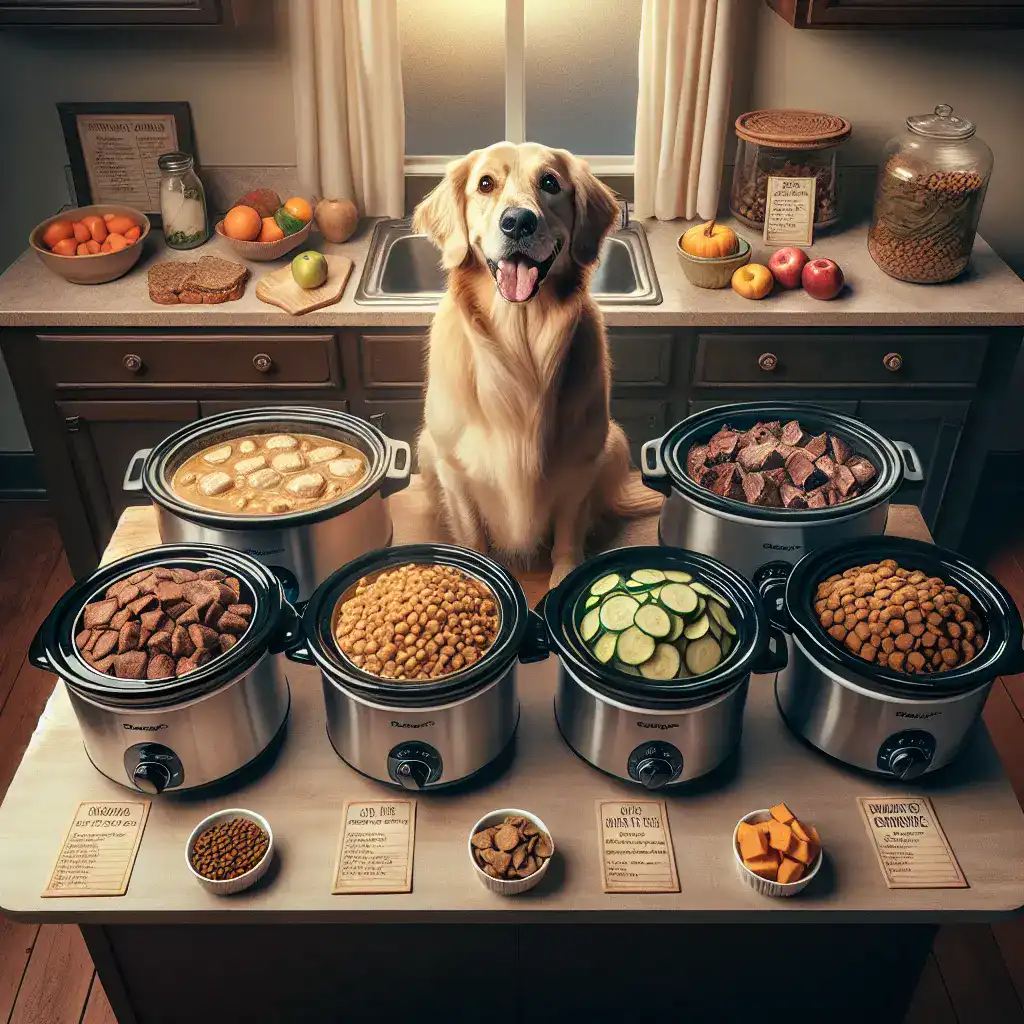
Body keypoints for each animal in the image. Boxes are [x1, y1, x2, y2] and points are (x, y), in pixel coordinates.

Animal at [411, 142, 659, 585]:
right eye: (485, 184)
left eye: (550, 182)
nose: (517, 223)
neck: (519, 337)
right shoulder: (454, 469)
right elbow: (473, 536)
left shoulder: (581, 463)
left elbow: (567, 536)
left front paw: (564, 574)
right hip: (427, 447)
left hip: (613, 440)